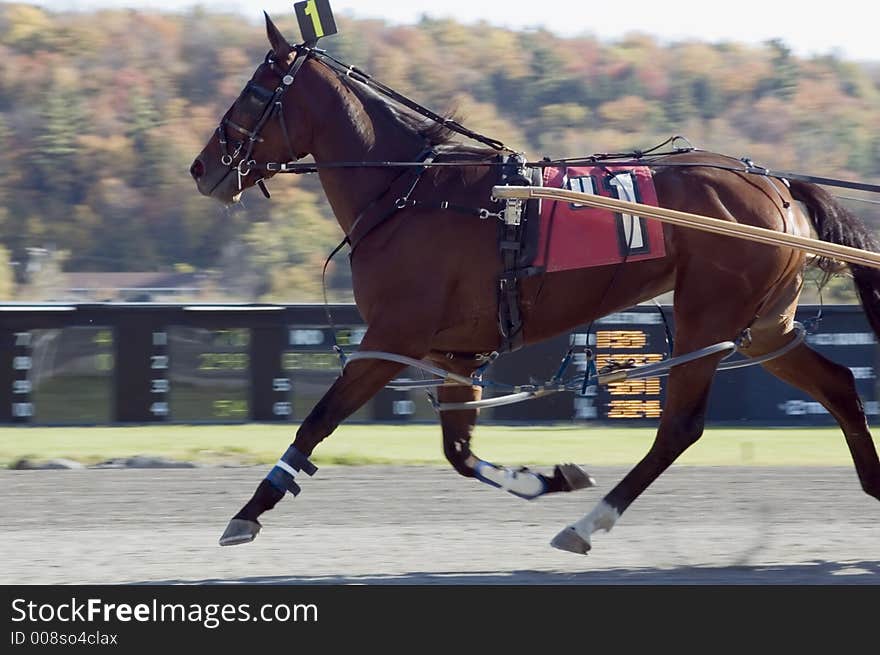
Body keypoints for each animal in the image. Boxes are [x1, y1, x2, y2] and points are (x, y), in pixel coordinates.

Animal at [189, 15, 876, 552]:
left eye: (254, 91)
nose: (201, 168)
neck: (409, 190)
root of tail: (776, 185)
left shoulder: (392, 338)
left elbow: (318, 421)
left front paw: (248, 513)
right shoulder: (452, 351)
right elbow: (459, 452)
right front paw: (548, 478)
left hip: (708, 313)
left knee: (680, 426)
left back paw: (588, 525)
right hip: (762, 326)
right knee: (838, 384)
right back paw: (871, 482)